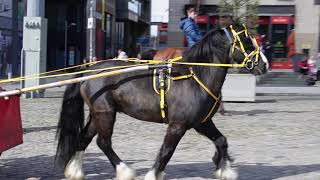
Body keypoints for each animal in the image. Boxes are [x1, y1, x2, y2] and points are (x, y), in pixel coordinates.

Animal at [55, 24, 268, 179]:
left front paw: (224, 168)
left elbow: (222, 141)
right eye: (247, 41)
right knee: (103, 142)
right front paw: (153, 174)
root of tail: (90, 70)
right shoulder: (178, 125)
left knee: (84, 139)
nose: (264, 65)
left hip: (97, 114)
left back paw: (75, 171)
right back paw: (125, 171)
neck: (195, 76)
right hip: (106, 114)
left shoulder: (202, 122)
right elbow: (166, 151)